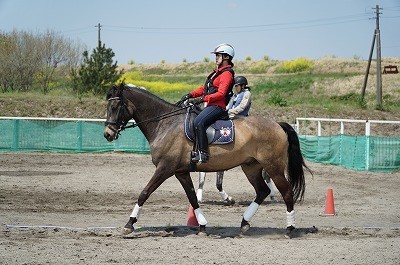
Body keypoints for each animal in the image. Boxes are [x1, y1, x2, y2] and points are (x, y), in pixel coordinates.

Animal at [102, 83, 310, 235]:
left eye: (114, 106)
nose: (107, 134)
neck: (165, 123)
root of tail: (277, 124)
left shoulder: (164, 168)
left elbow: (144, 193)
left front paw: (130, 223)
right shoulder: (181, 172)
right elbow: (193, 197)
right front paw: (201, 225)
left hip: (273, 167)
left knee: (286, 192)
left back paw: (290, 228)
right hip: (250, 167)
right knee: (262, 191)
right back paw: (244, 222)